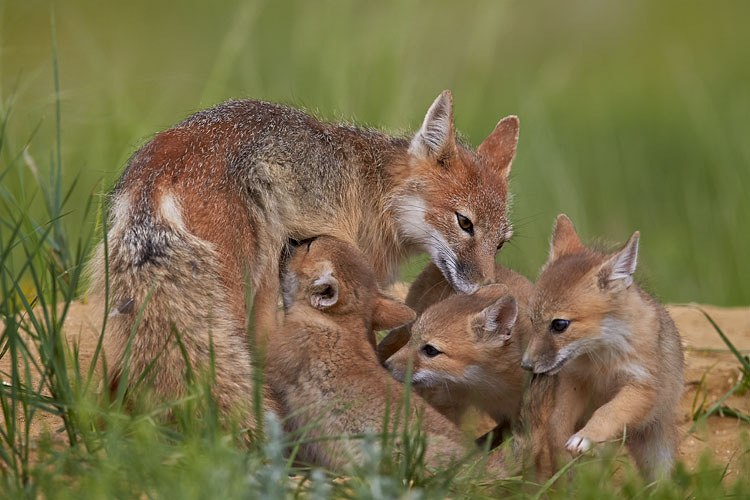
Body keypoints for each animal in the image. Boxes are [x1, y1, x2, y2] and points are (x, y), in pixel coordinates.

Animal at [89, 91, 520, 427]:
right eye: (464, 223)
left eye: (501, 243)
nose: (486, 288)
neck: (376, 187)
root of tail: (161, 168)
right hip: (248, 289)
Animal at [517, 214, 684, 480]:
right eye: (532, 321)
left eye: (559, 325)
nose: (527, 365)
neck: (601, 360)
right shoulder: (575, 381)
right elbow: (556, 423)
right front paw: (563, 453)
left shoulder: (641, 387)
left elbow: (608, 411)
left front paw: (587, 436)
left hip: (656, 453)